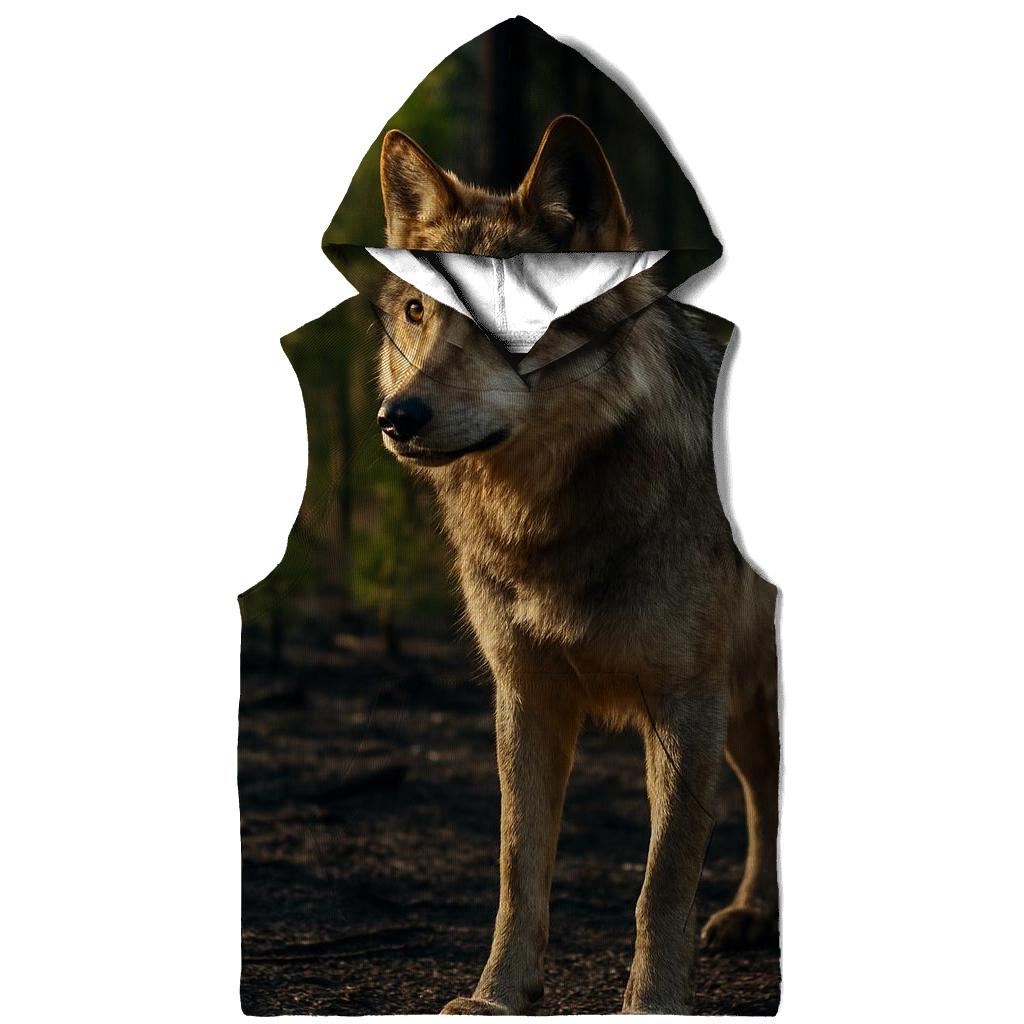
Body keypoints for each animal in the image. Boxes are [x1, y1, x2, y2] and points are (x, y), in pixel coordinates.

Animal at [373, 115, 779, 1014]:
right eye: (418, 310)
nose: (396, 416)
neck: (548, 521)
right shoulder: (526, 695)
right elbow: (519, 867)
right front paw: (496, 996)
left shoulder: (684, 703)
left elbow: (662, 882)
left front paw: (652, 1005)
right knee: (769, 798)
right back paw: (752, 915)